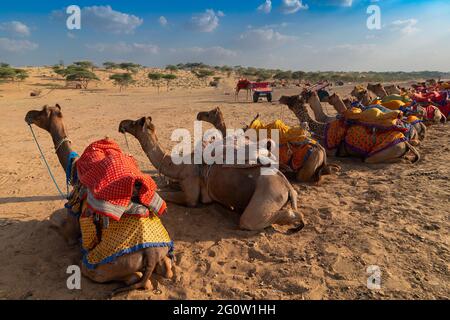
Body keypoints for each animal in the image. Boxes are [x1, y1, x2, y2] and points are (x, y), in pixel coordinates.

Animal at [23, 104, 174, 292]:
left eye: (42, 112)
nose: (28, 115)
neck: (74, 170)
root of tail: (150, 254)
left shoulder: (72, 220)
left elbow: (59, 229)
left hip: (101, 264)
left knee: (134, 279)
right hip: (161, 252)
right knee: (167, 269)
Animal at [118, 116, 306, 231]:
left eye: (135, 123)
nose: (122, 124)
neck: (179, 164)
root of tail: (288, 187)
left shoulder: (191, 192)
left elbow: (165, 194)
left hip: (269, 193)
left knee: (253, 220)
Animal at [280, 95, 420, 165]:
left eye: (291, 98)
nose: (281, 98)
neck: (322, 127)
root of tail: (404, 142)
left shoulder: (331, 150)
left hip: (381, 153)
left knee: (371, 159)